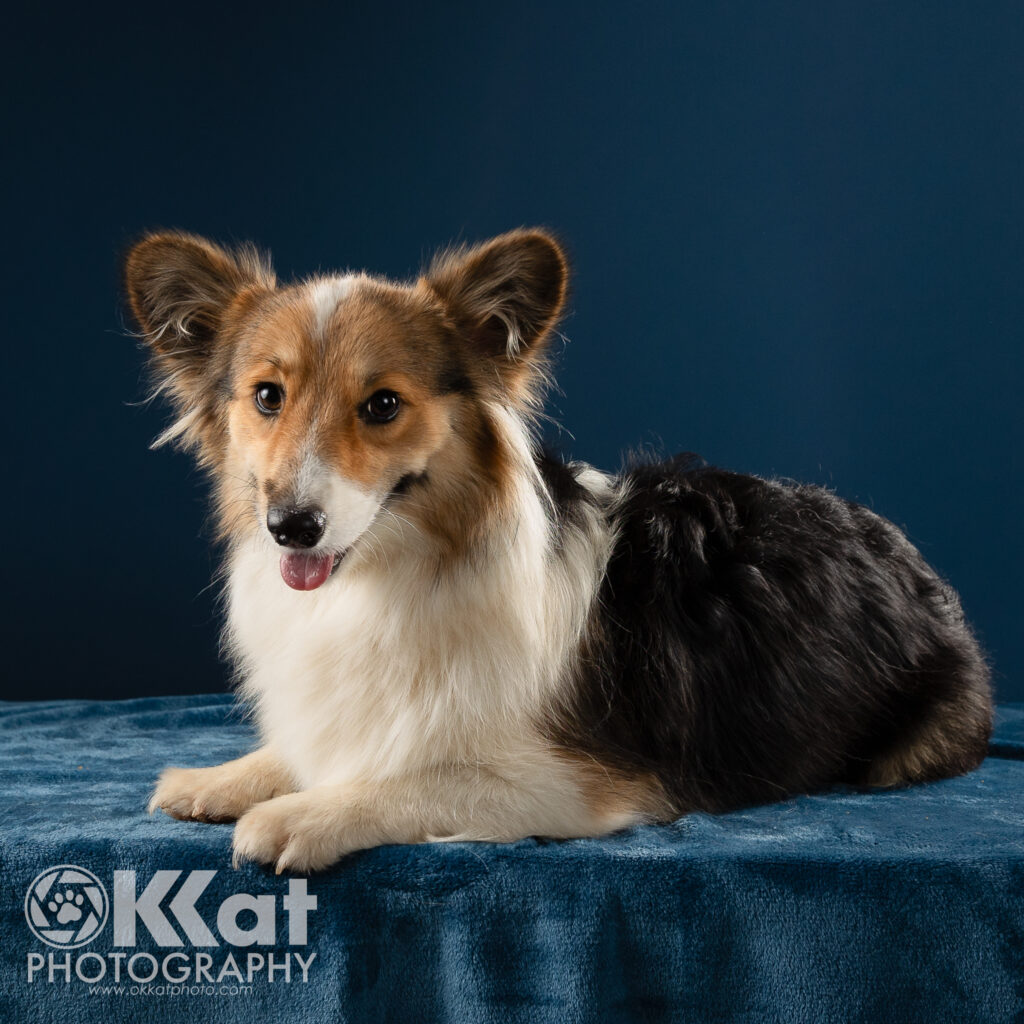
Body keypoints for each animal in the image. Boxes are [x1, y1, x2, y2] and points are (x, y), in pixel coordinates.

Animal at [121, 226, 991, 872]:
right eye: (268, 397)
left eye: (383, 406)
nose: (290, 526)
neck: (394, 573)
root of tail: (905, 550)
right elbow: (323, 745)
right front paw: (225, 777)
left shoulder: (576, 785)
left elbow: (415, 779)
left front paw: (301, 814)